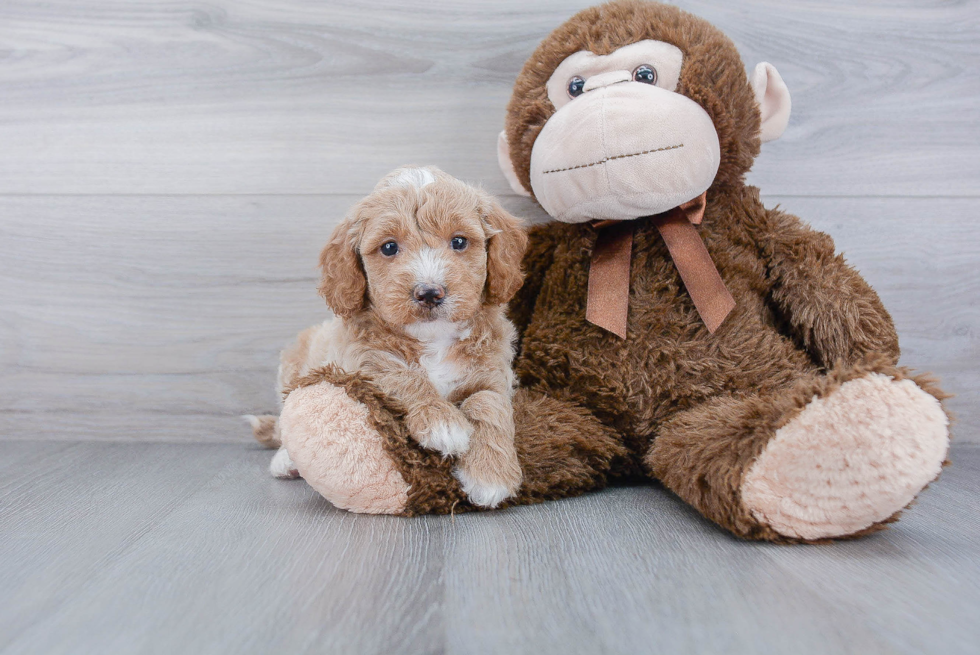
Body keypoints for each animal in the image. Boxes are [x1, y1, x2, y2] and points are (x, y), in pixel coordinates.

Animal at [253, 167, 528, 510]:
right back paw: (285, 461)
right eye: (388, 248)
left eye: (459, 241)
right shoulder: (364, 362)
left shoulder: (493, 371)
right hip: (292, 366)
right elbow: (404, 376)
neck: (432, 339)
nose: (429, 292)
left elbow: (487, 403)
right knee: (285, 418)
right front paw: (441, 422)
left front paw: (491, 475)